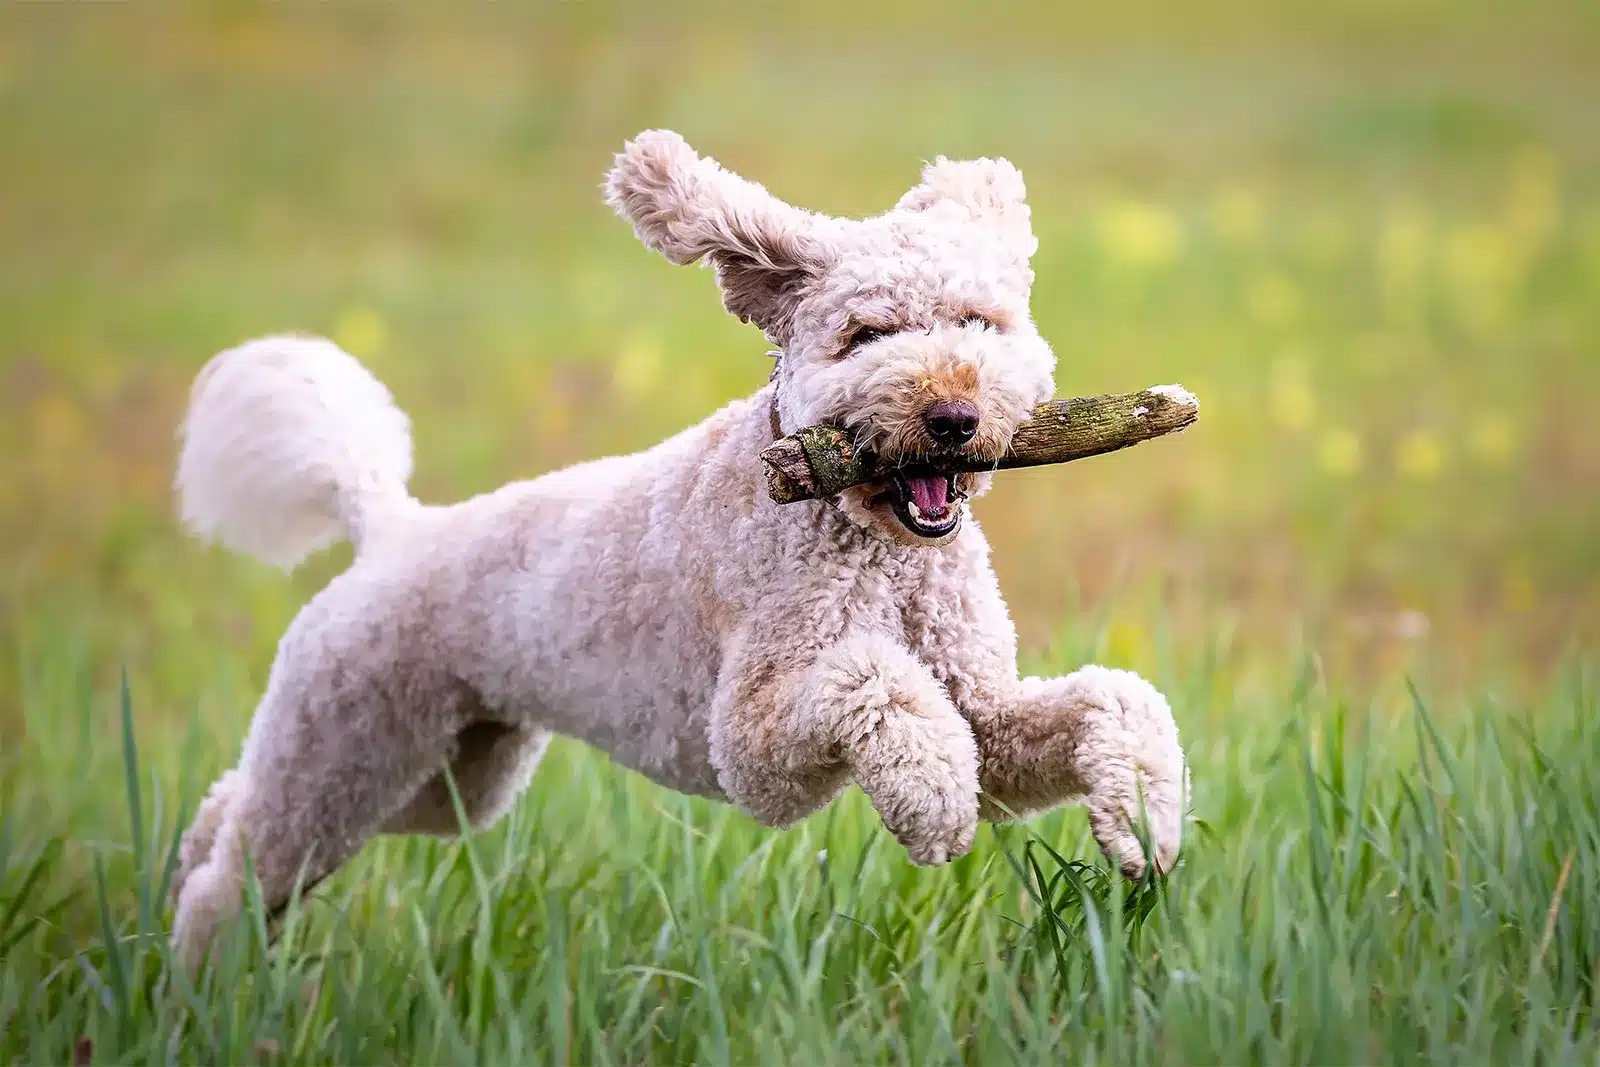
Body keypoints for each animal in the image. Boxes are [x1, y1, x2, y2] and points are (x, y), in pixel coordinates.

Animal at [168, 129, 1190, 966]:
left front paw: (1145, 822)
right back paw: (200, 980)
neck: (873, 541)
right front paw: (934, 799)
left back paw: (185, 876)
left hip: (449, 775)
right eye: (867, 335)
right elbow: (871, 680)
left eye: (979, 322)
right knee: (236, 877)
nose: (953, 415)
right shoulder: (753, 739)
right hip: (346, 745)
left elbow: (1112, 699)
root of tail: (390, 528)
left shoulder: (985, 709)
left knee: (233, 812)